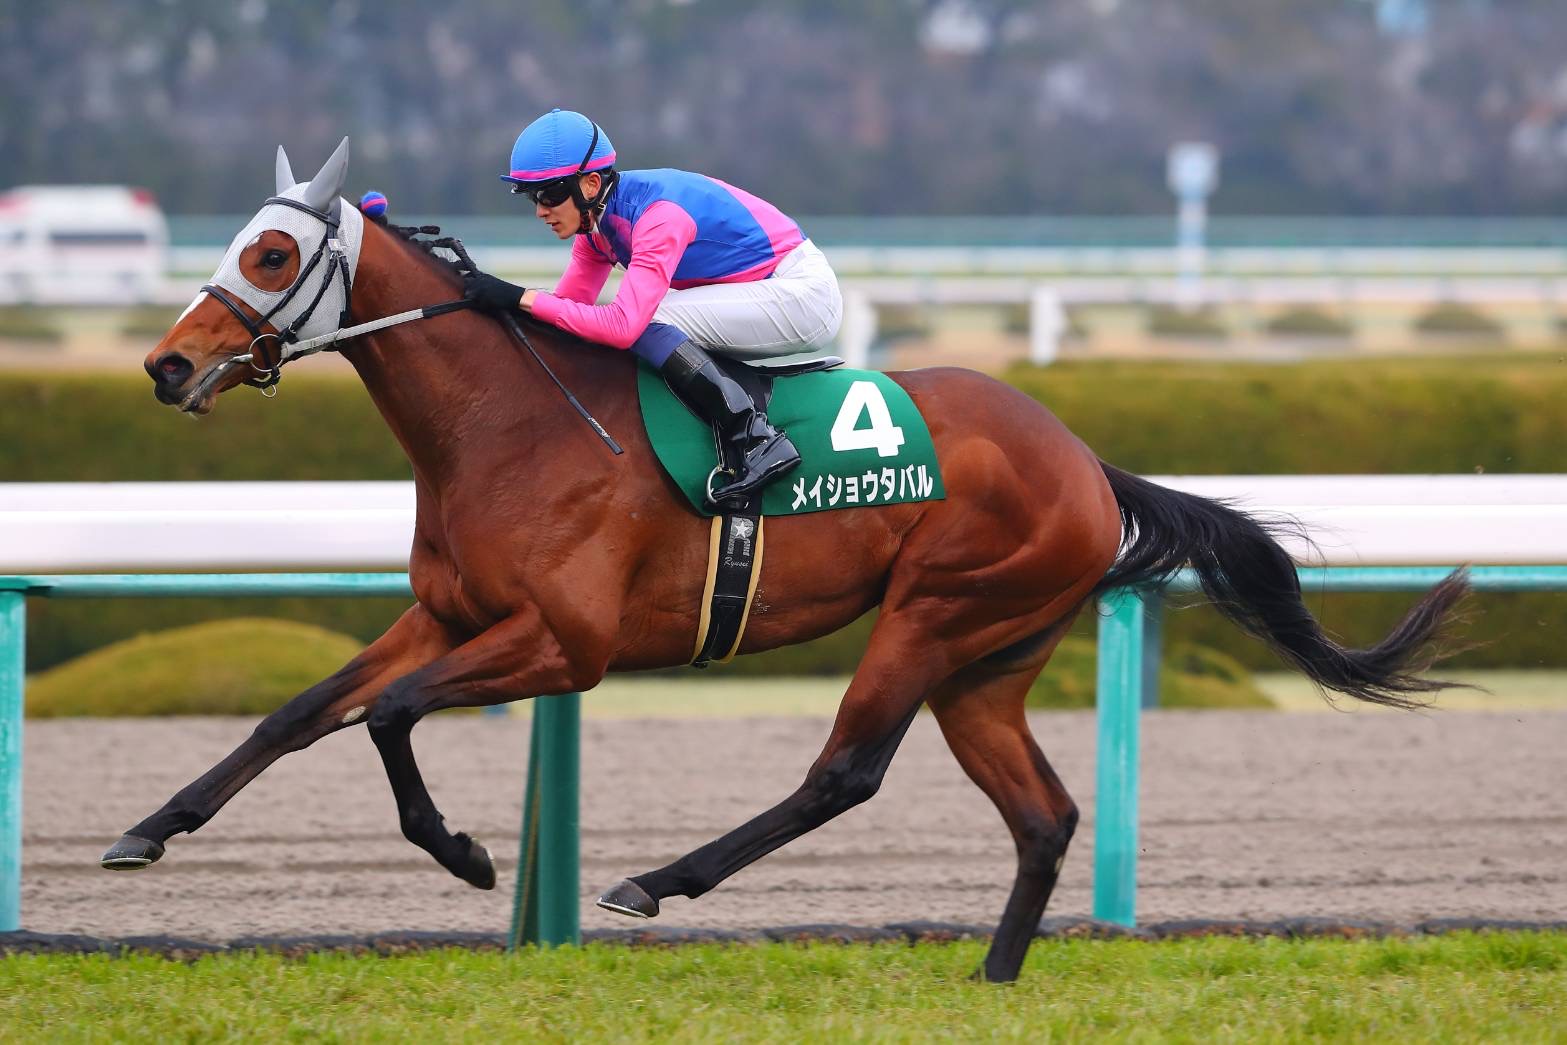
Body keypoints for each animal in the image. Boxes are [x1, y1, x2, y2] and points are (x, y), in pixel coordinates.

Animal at [116, 141, 1469, 982]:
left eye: (272, 257)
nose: (166, 367)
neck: (508, 421)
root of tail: (1086, 462)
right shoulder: (447, 616)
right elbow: (300, 710)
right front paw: (147, 830)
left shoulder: (565, 643)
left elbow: (390, 715)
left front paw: (464, 852)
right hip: (988, 659)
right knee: (1041, 814)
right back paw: (992, 975)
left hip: (932, 613)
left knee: (845, 773)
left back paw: (657, 882)